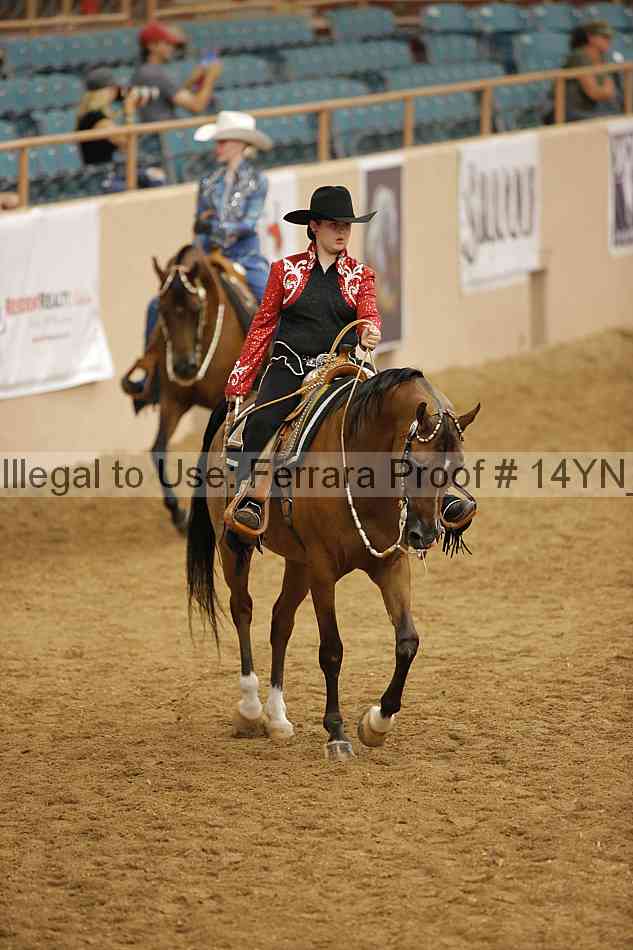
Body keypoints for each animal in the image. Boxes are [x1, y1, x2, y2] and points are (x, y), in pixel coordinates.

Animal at [123, 245, 250, 533]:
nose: (183, 368)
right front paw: (177, 513)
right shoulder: (173, 400)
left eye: (196, 308)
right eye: (163, 310)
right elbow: (158, 450)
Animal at [186, 364, 480, 760]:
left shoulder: (391, 564)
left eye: (456, 469)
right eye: (415, 465)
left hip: (298, 562)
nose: (425, 534)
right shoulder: (323, 571)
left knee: (281, 621)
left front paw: (377, 722)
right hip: (233, 545)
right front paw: (337, 733)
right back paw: (250, 708)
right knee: (242, 609)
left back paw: (277, 718)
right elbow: (332, 651)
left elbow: (407, 642)